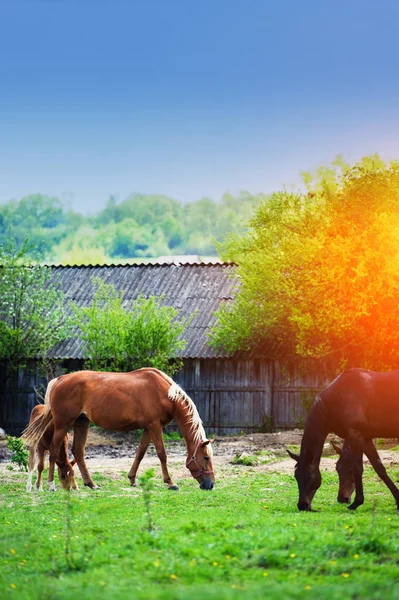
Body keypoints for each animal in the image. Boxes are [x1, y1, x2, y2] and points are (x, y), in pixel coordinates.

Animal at [21, 366, 216, 492]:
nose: (211, 484)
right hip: (63, 424)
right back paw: (50, 485)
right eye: (206, 457)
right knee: (54, 452)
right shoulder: (154, 426)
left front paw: (132, 479)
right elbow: (162, 454)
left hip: (81, 423)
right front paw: (170, 482)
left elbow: (140, 453)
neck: (164, 393)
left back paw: (91, 484)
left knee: (78, 451)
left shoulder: (149, 428)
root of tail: (59, 380)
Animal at [290, 368, 399, 512]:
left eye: (310, 476)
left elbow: (358, 468)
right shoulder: (366, 439)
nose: (302, 505)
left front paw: (357, 503)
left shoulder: (355, 435)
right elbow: (379, 468)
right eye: (296, 475)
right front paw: (398, 500)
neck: (339, 396)